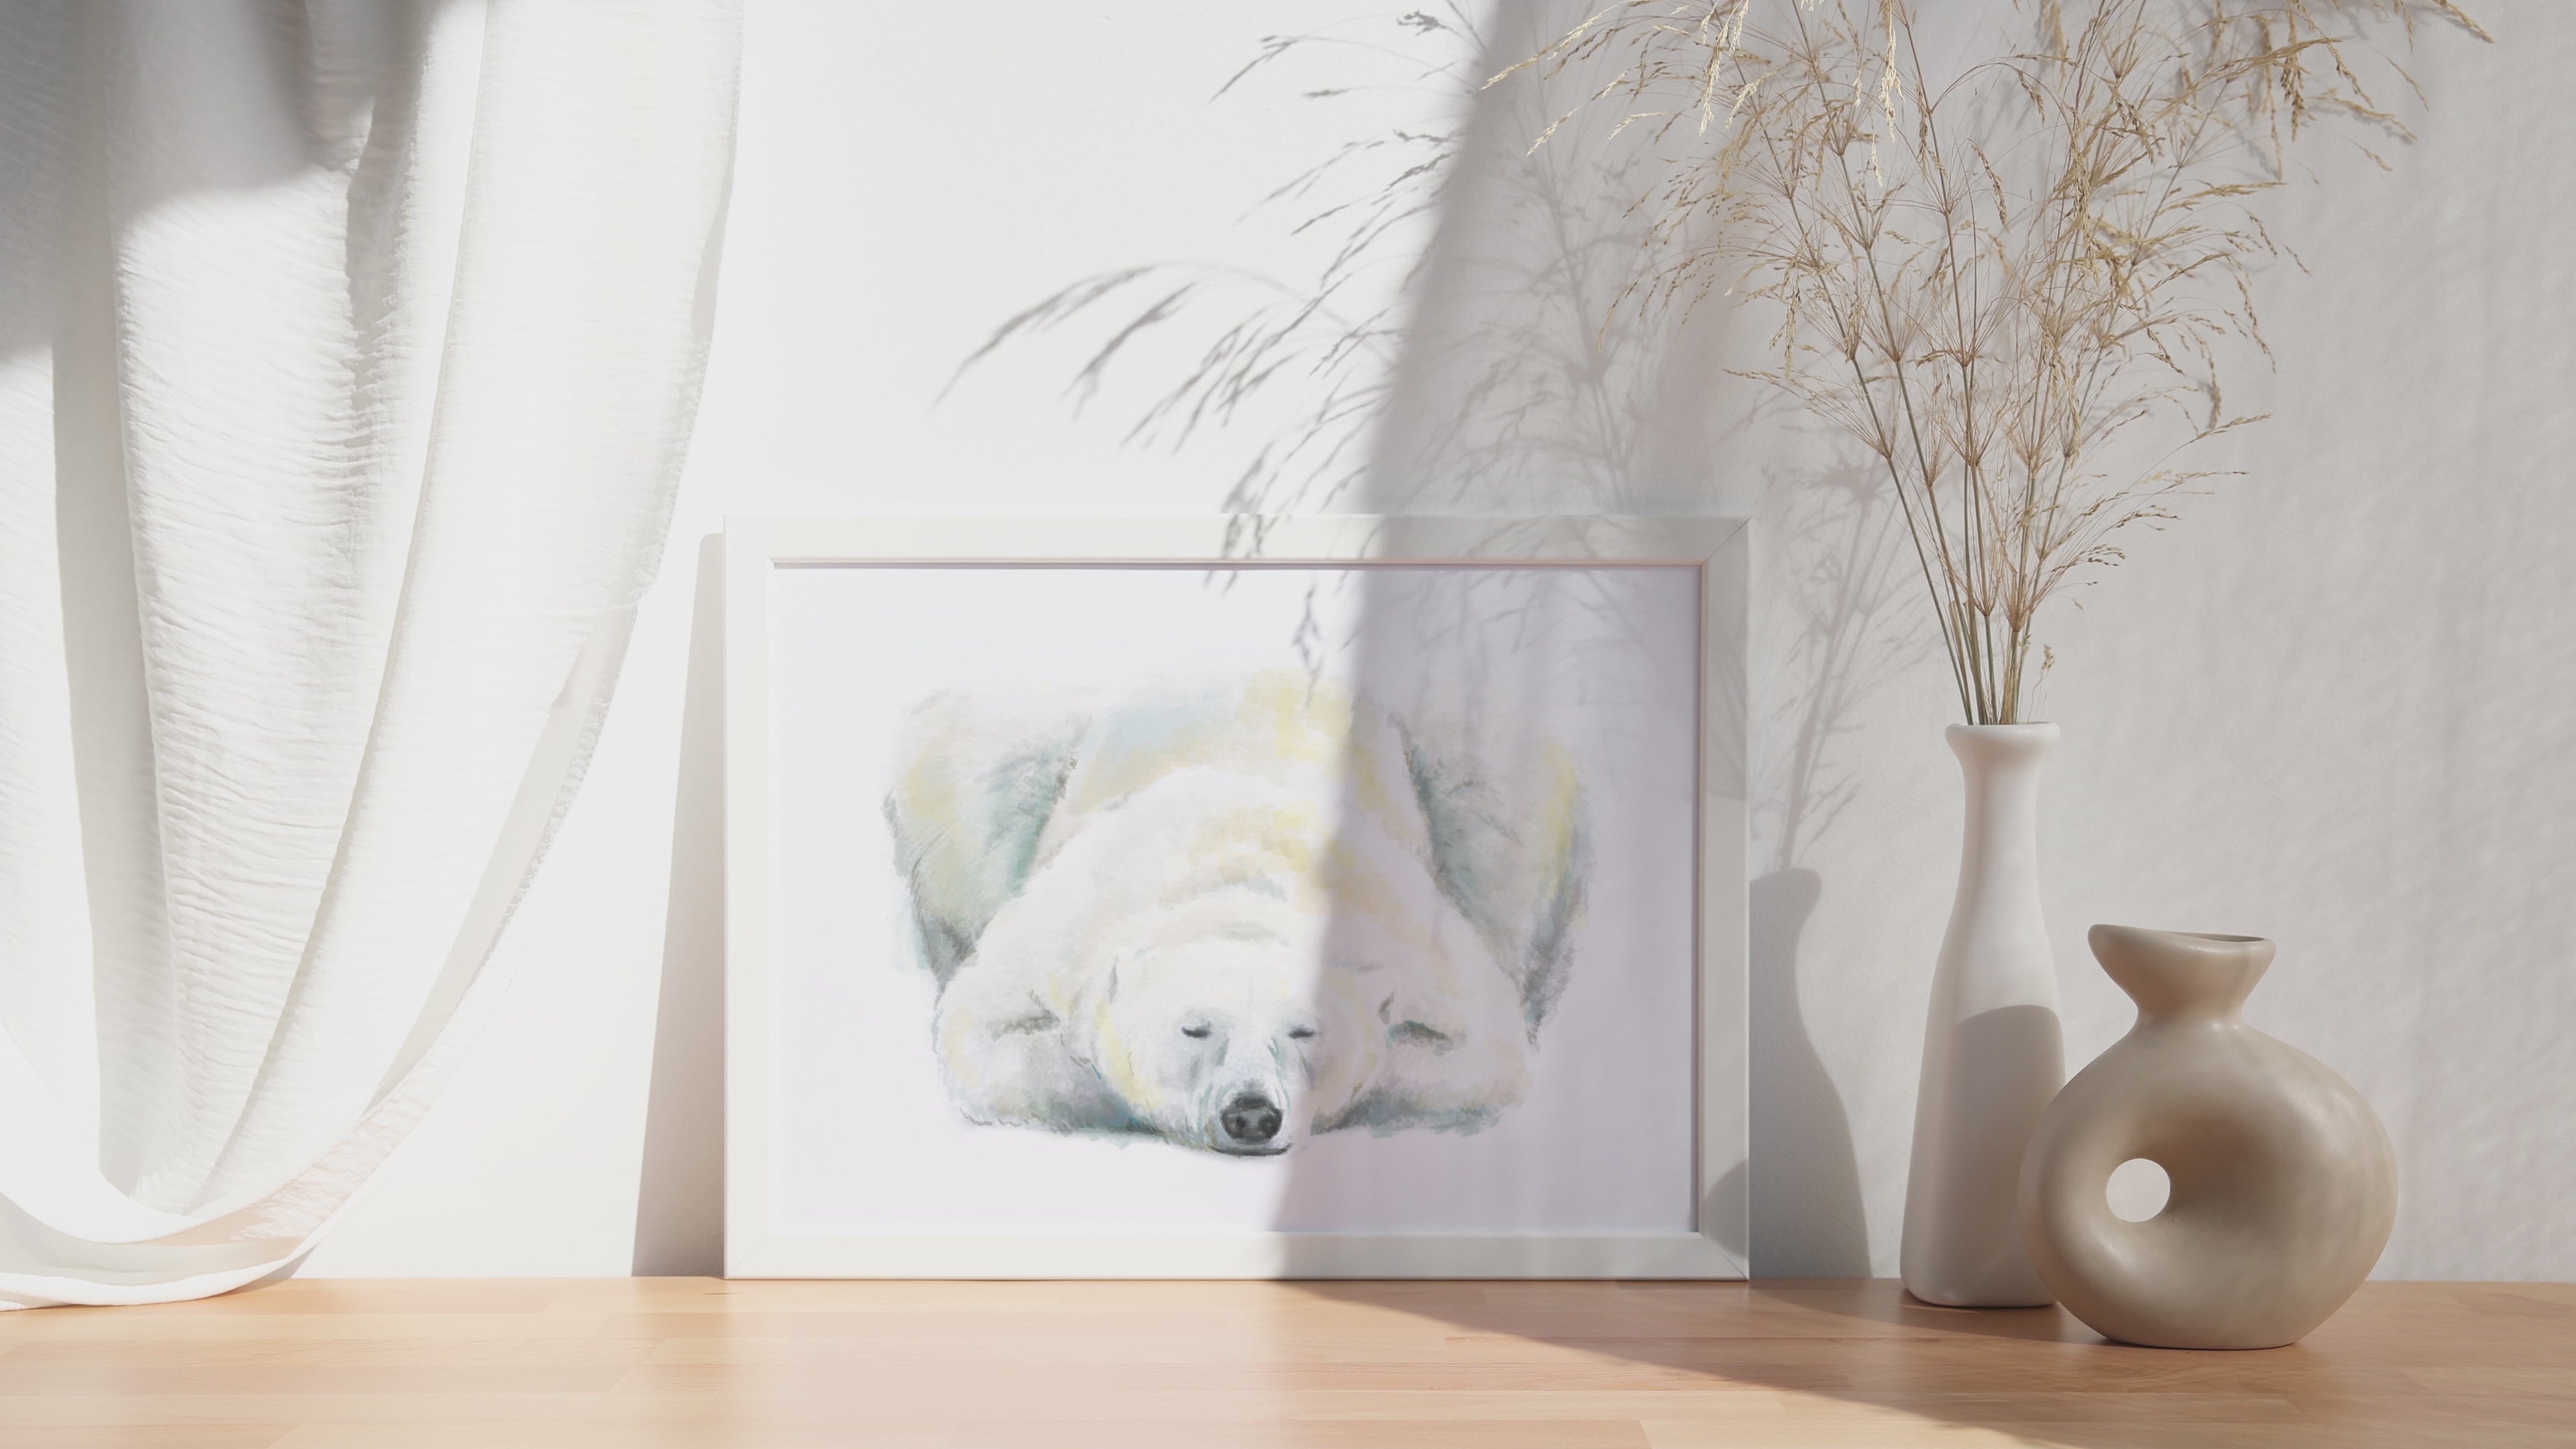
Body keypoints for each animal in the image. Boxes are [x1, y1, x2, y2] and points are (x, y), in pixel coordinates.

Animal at [883, 670, 1586, 1155]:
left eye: (1304, 1030)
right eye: (1195, 1029)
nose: (1252, 1115)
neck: (1240, 883)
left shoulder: (1410, 935)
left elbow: (1483, 1050)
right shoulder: (1069, 925)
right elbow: (979, 1031)